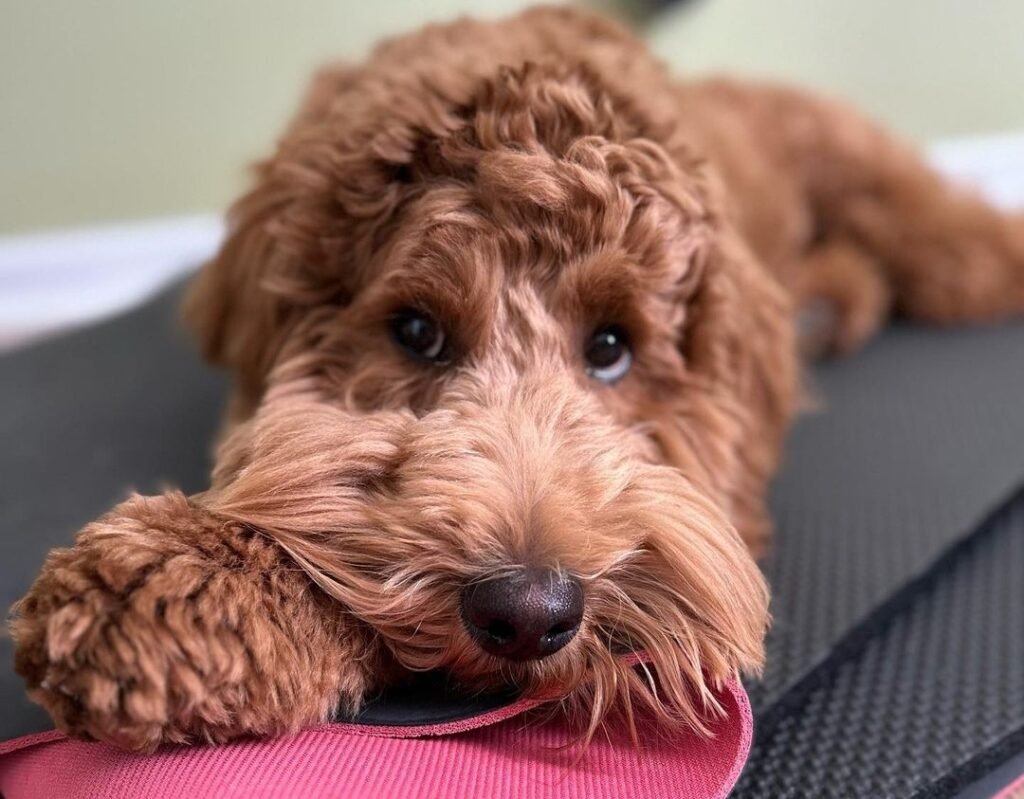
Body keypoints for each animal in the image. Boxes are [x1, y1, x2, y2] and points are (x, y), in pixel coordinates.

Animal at [9, 6, 1024, 753]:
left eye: (612, 344)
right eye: (416, 331)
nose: (528, 613)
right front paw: (189, 588)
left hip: (857, 165)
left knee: (940, 226)